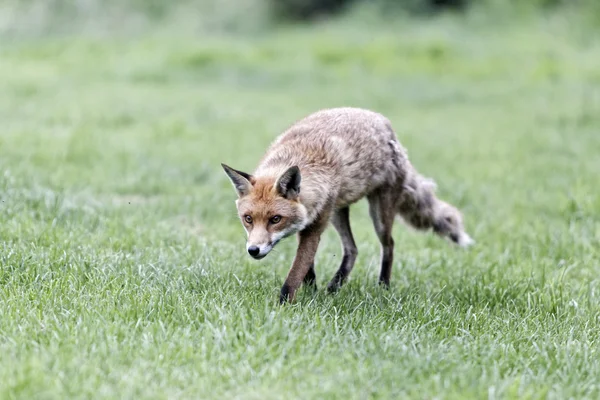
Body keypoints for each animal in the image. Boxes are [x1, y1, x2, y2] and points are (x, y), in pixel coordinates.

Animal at [221, 106, 474, 304]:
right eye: (248, 219)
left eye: (275, 219)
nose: (253, 250)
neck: (302, 156)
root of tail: (384, 124)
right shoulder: (307, 223)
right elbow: (307, 267)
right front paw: (311, 291)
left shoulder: (315, 224)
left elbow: (296, 272)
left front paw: (284, 305)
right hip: (338, 212)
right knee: (352, 249)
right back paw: (335, 285)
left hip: (378, 215)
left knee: (389, 245)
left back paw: (383, 287)